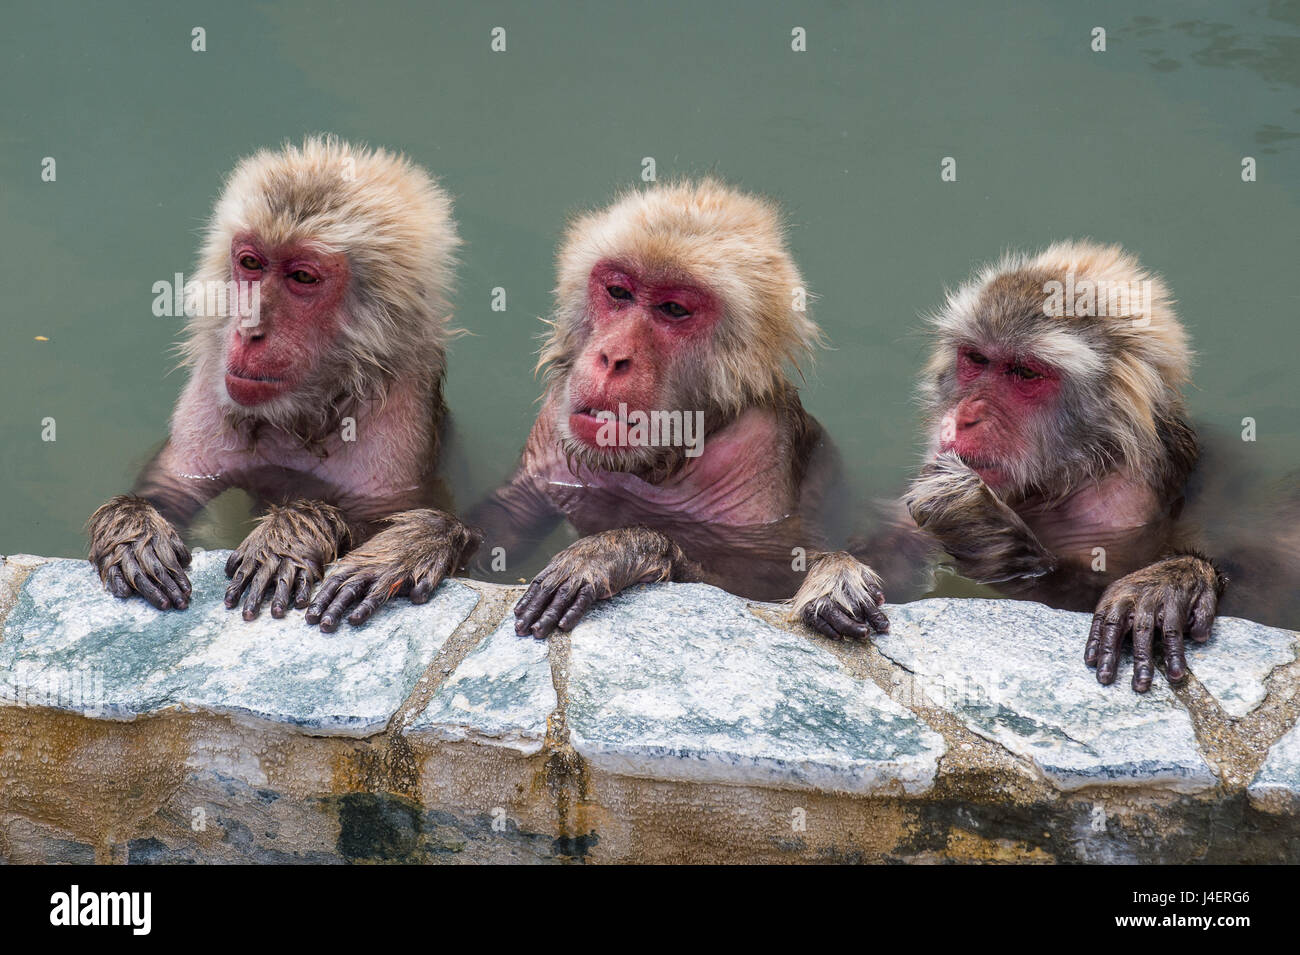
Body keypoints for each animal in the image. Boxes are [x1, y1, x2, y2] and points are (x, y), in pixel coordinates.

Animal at [90, 138, 478, 623]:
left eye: (303, 277)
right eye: (251, 263)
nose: (249, 328)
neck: (302, 414)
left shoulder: (400, 418)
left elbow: (394, 519)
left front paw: (292, 533)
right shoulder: (209, 392)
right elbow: (169, 493)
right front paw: (135, 528)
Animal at [309, 181, 889, 639]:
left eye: (673, 309)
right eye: (618, 292)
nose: (612, 357)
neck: (659, 463)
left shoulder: (763, 447)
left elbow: (766, 587)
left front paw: (618, 550)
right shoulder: (554, 420)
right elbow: (503, 531)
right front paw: (419, 539)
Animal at [790, 242, 1227, 691]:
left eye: (1024, 372)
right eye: (977, 359)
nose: (966, 416)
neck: (1067, 474)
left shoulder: (1121, 507)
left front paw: (973, 517)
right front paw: (837, 578)